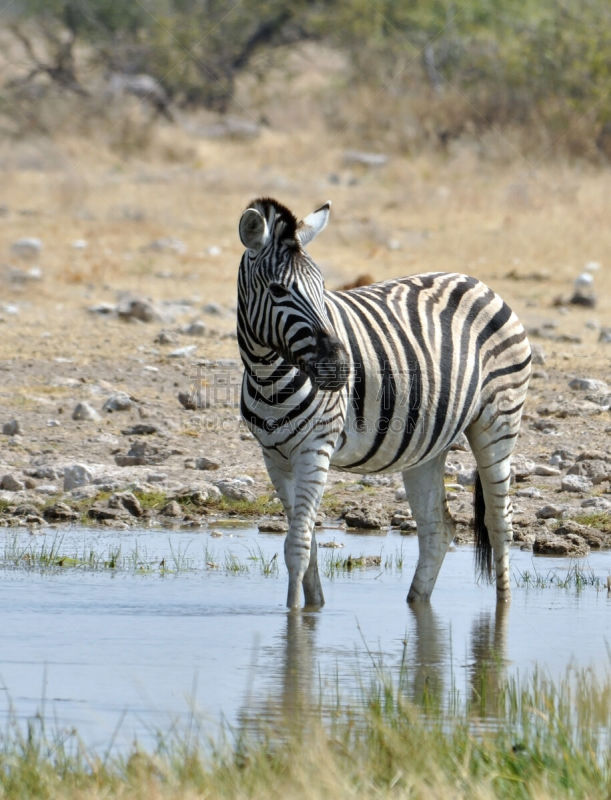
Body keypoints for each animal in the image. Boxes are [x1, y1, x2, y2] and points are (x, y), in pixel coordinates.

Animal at [238, 197, 532, 608]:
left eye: (322, 287)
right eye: (279, 289)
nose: (341, 367)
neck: (267, 375)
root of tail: (478, 282)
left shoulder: (315, 447)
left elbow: (297, 545)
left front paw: (293, 617)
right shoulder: (275, 456)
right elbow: (305, 542)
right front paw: (312, 610)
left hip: (498, 422)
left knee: (499, 521)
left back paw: (502, 611)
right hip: (428, 444)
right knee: (438, 527)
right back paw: (416, 601)